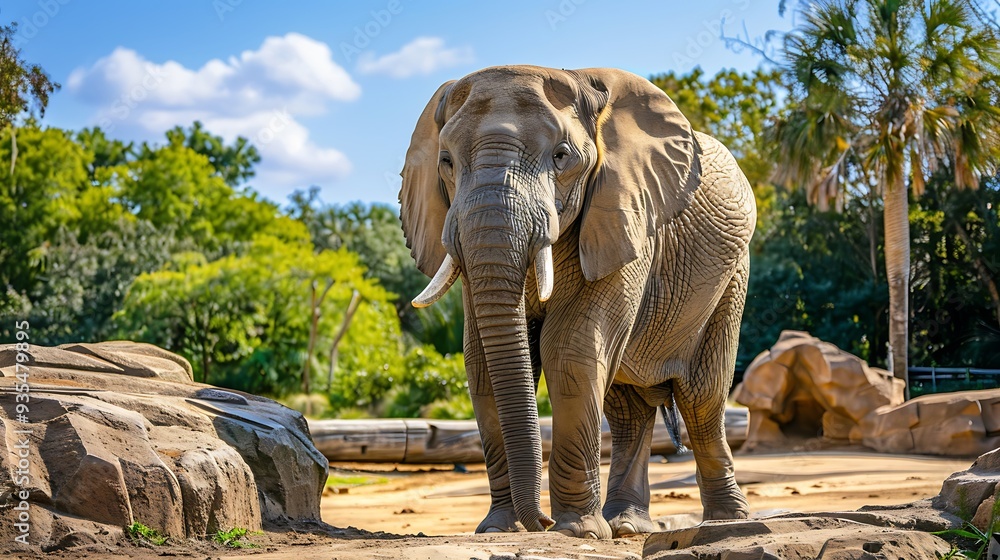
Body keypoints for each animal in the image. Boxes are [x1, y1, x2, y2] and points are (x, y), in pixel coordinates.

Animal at [399, 65, 755, 539]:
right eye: (446, 162)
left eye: (562, 156)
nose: (540, 522)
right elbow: (482, 364)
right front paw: (498, 529)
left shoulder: (625, 215)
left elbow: (569, 350)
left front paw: (575, 532)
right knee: (627, 409)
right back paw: (627, 526)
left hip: (733, 276)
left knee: (702, 399)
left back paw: (726, 521)